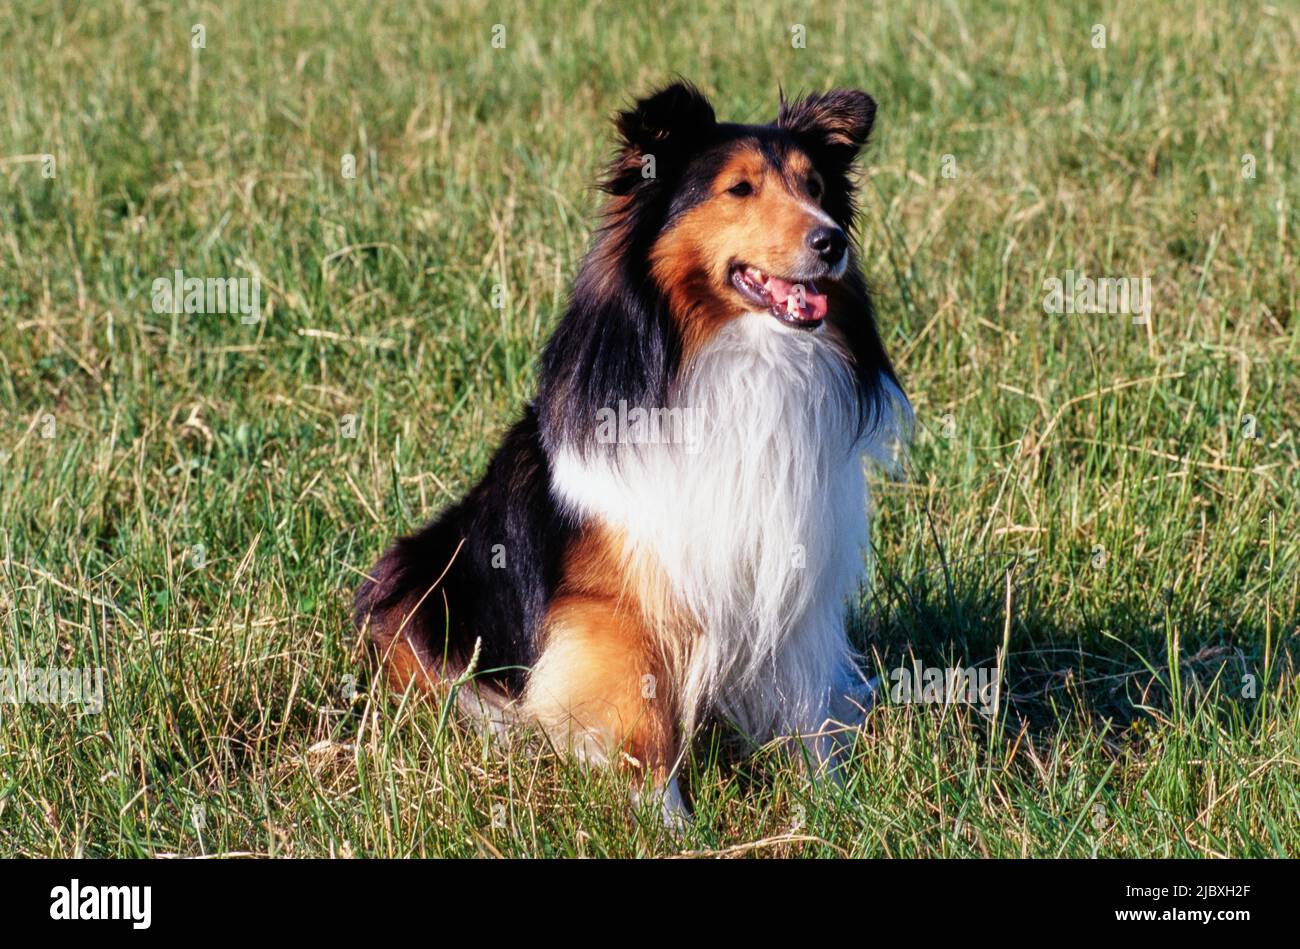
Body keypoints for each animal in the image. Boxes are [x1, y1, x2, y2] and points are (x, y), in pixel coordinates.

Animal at [351, 81, 909, 816]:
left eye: (815, 186)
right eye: (739, 189)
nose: (832, 241)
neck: (738, 352)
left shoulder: (790, 579)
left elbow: (809, 706)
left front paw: (836, 801)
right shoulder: (613, 608)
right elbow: (640, 720)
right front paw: (667, 819)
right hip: (420, 580)